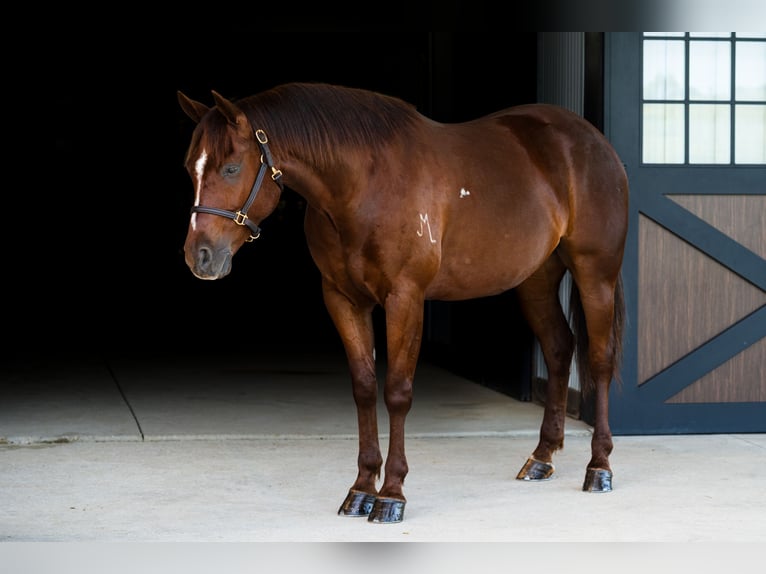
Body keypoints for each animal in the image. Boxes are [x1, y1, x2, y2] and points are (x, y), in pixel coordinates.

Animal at [176, 82, 628, 524]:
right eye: (189, 167)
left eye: (231, 168)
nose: (200, 257)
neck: (363, 184)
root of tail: (592, 139)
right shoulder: (343, 299)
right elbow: (363, 388)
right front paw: (361, 489)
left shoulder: (405, 297)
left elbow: (396, 391)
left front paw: (391, 495)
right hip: (536, 280)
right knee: (559, 349)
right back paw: (541, 457)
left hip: (595, 274)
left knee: (600, 360)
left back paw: (599, 467)